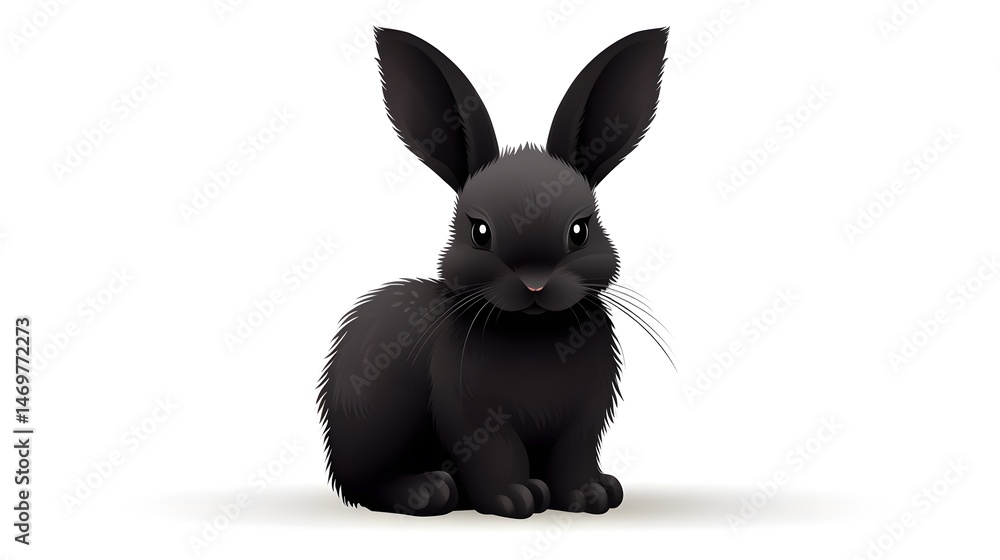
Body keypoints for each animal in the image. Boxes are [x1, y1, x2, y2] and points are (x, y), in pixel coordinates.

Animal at [317, 27, 668, 518]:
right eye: (479, 232)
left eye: (580, 230)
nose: (535, 282)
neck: (534, 332)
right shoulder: (471, 414)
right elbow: (495, 451)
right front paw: (515, 499)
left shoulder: (586, 419)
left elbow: (574, 455)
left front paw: (590, 496)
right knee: (367, 485)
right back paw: (428, 491)